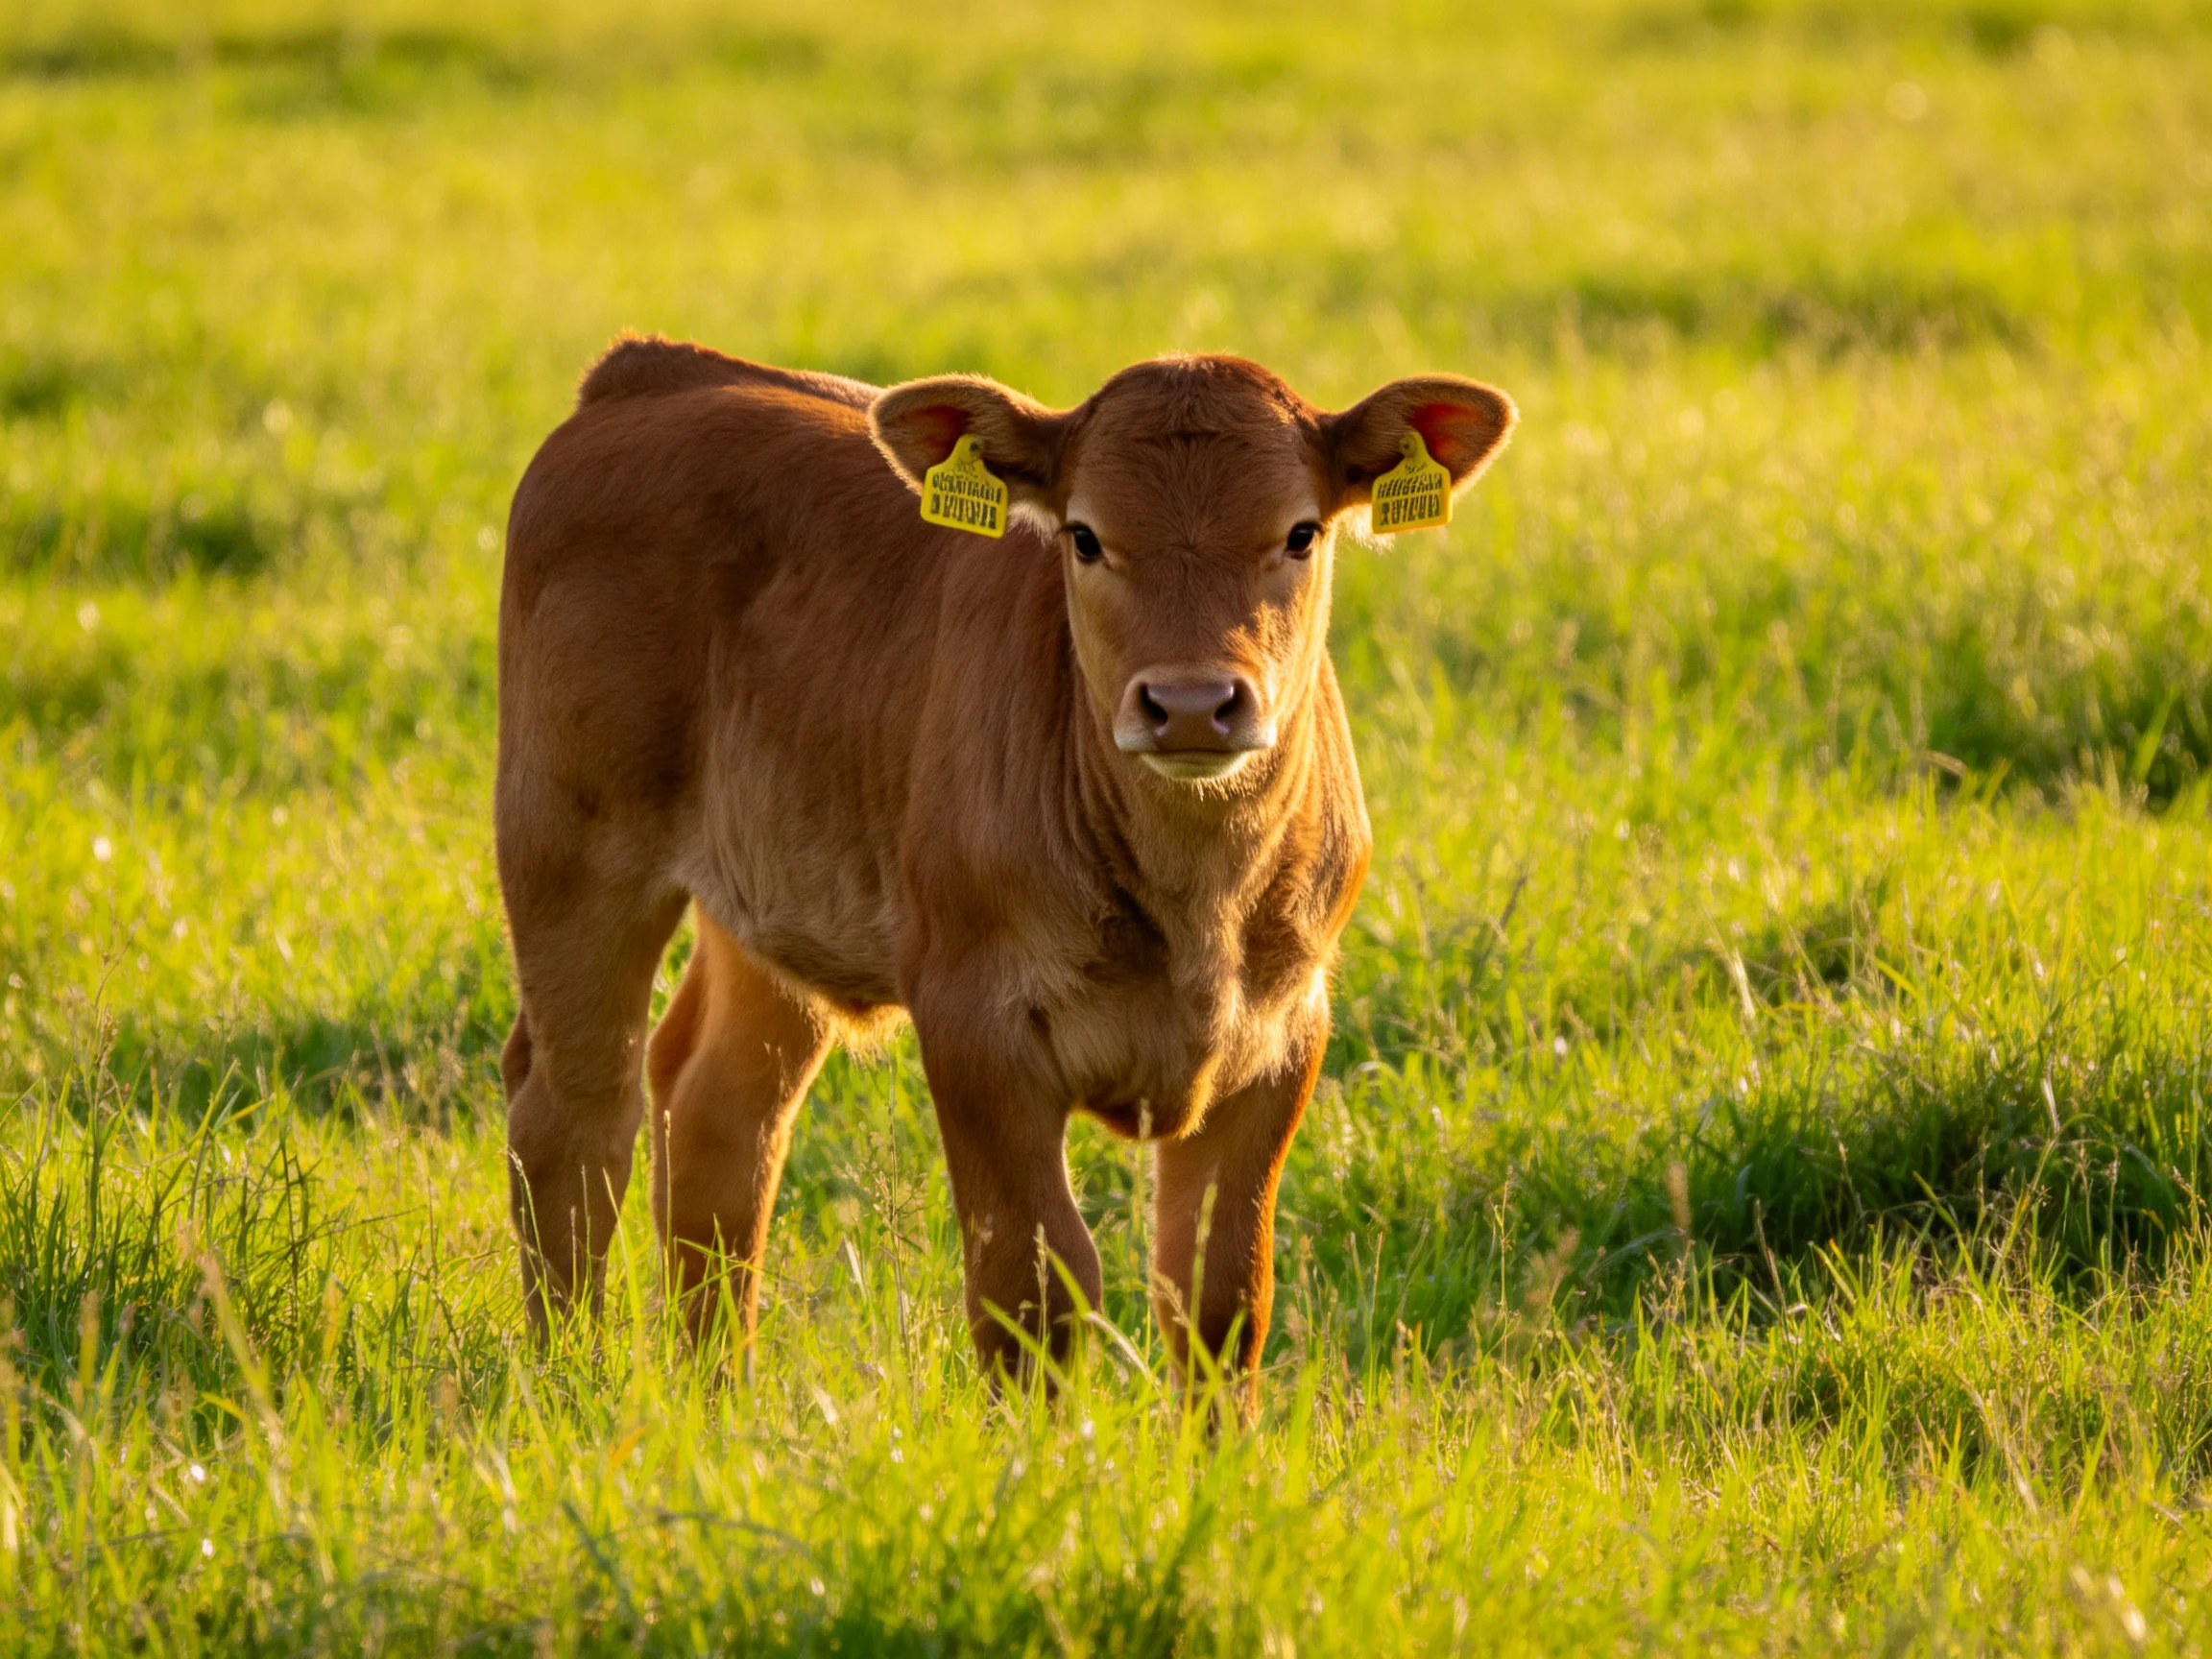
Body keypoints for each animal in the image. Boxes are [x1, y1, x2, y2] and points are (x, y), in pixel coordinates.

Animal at [495, 337, 1515, 1405]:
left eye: (1302, 533)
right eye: (1085, 537)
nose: (1192, 704)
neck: (1196, 900)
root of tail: (654, 370)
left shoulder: (1284, 1028)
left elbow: (1220, 1294)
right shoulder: (975, 1023)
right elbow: (1034, 1286)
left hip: (775, 903)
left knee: (718, 1117)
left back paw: (717, 1396)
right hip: (571, 849)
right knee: (573, 1115)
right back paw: (567, 1380)